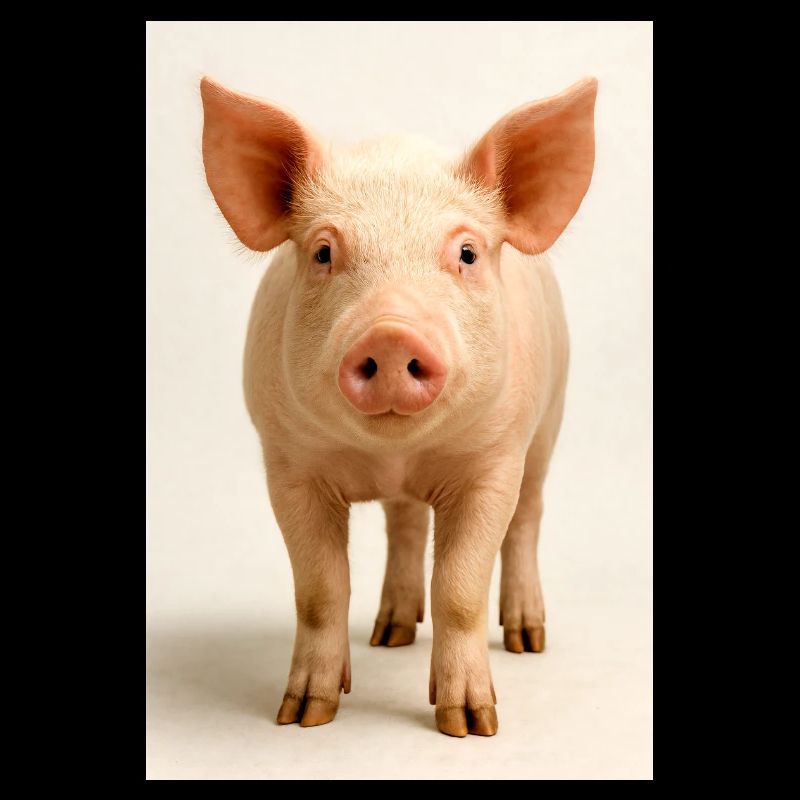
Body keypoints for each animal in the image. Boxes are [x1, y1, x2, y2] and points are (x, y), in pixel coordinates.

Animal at [200, 75, 597, 737]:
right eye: (323, 252)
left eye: (466, 253)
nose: (390, 333)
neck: (395, 455)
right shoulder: (287, 464)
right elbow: (319, 589)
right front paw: (303, 716)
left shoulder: (494, 461)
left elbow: (460, 587)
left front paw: (472, 725)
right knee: (406, 524)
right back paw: (389, 635)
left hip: (550, 421)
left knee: (527, 519)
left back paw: (526, 640)